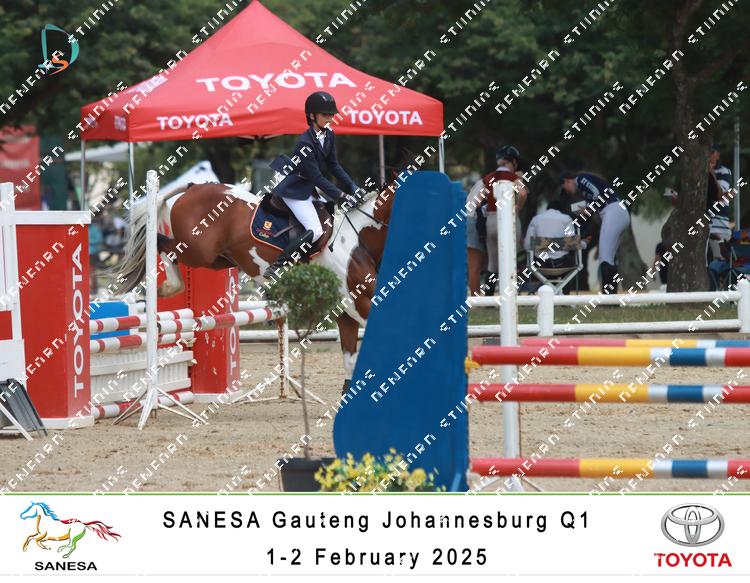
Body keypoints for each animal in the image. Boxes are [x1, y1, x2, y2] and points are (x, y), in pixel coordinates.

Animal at [115, 183, 395, 392]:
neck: (357, 239)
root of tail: (195, 187)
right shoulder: (360, 304)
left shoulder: (346, 313)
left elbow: (351, 361)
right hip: (198, 250)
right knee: (162, 242)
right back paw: (169, 286)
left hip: (219, 259)